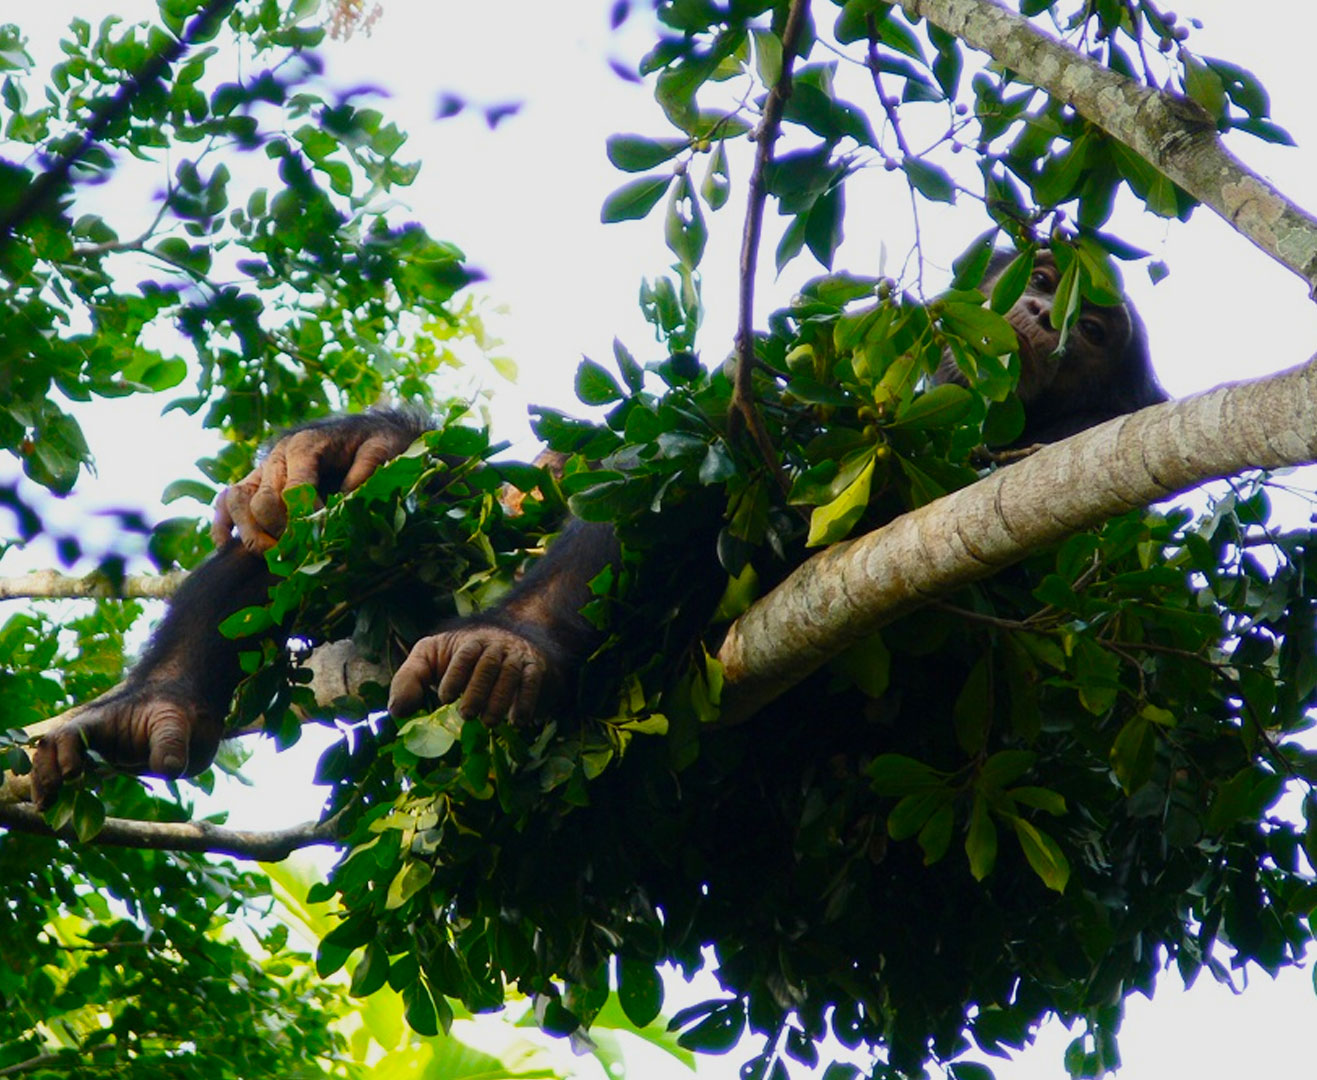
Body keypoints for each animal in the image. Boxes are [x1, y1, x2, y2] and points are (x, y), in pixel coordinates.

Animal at [28, 244, 1164, 811]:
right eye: (1042, 286)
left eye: (1091, 327)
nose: (1037, 315)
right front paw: (340, 447)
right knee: (321, 541)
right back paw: (153, 700)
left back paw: (507, 648)